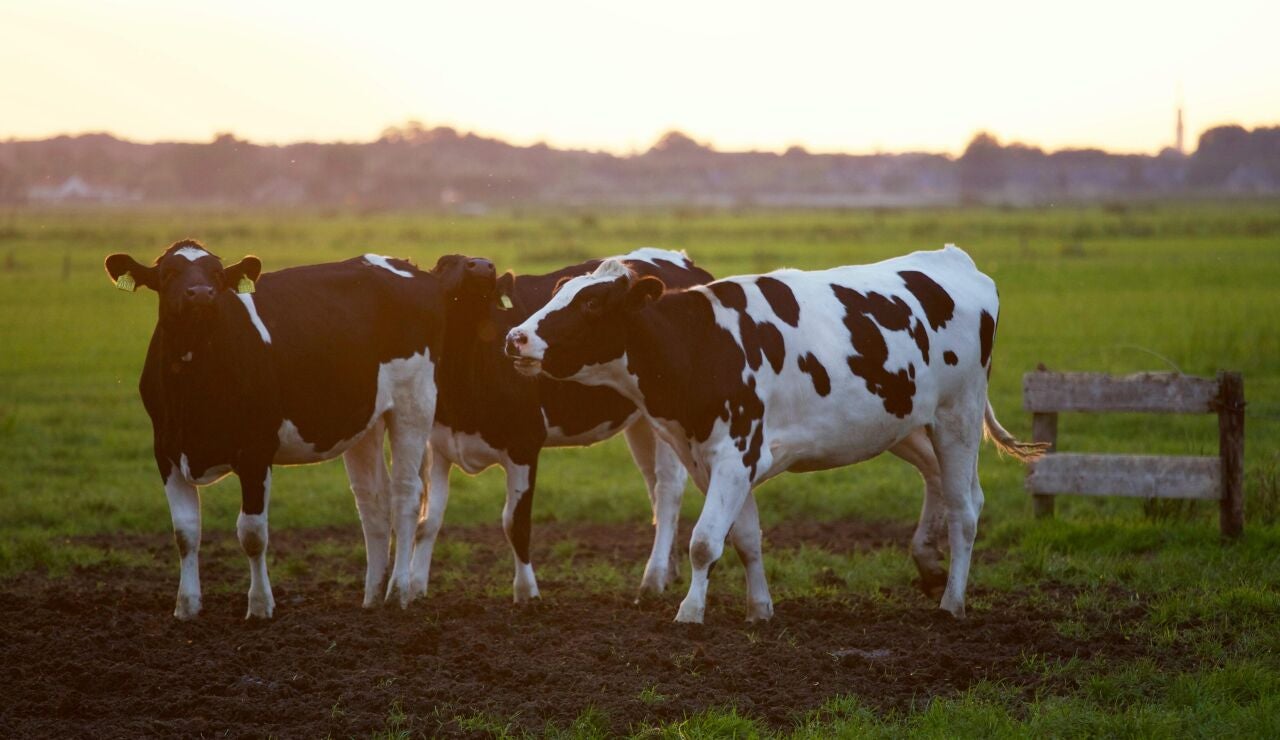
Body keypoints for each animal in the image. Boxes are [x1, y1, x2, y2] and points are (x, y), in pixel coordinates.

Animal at [104, 240, 446, 619]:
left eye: (217, 274)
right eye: (168, 274)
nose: (202, 294)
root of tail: (405, 265)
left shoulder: (256, 451)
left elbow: (252, 534)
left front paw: (259, 606)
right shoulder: (165, 451)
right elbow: (185, 532)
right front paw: (187, 606)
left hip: (413, 403)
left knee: (406, 495)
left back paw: (397, 591)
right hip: (365, 421)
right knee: (373, 502)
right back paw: (371, 596)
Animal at [408, 248, 713, 602]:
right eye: (445, 263)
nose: (483, 266)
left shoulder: (524, 443)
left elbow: (515, 523)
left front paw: (527, 594)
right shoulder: (438, 444)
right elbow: (428, 520)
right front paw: (414, 589)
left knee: (667, 490)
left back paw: (652, 579)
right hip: (643, 421)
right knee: (653, 486)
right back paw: (669, 570)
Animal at [504, 245, 1047, 623]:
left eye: (592, 304)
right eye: (558, 293)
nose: (515, 337)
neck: (702, 344)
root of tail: (954, 259)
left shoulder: (735, 453)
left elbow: (704, 541)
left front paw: (690, 612)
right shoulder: (718, 460)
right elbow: (745, 538)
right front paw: (759, 609)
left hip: (958, 415)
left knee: (965, 509)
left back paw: (953, 601)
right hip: (906, 423)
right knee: (943, 482)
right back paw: (929, 565)